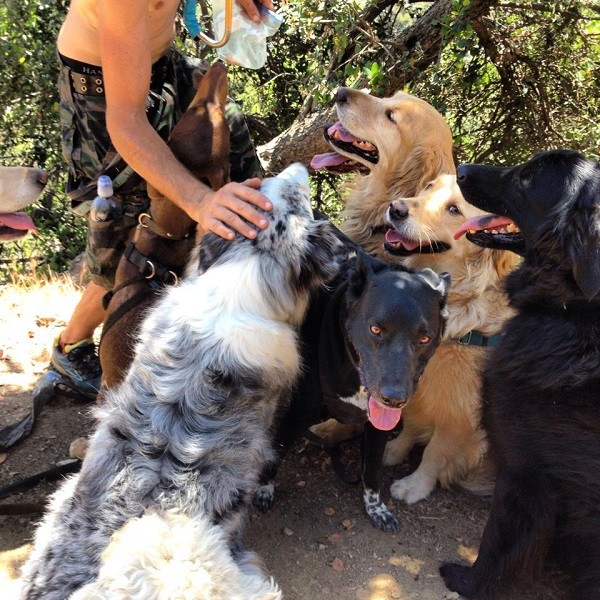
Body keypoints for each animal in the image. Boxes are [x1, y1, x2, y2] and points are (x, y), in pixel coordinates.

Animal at [256, 244, 450, 528]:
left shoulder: (378, 427)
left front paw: (376, 508)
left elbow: (372, 470)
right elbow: (277, 450)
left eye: (424, 338)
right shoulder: (298, 414)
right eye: (375, 329)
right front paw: (264, 489)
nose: (394, 399)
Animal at [440, 148, 600, 596]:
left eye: (528, 178)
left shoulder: (523, 468)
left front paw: (468, 580)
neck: (574, 310)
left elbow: (496, 541)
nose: (461, 169)